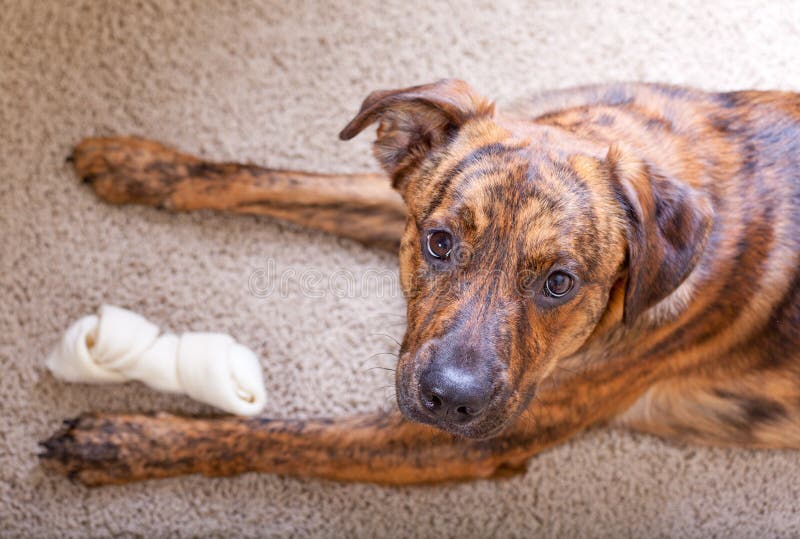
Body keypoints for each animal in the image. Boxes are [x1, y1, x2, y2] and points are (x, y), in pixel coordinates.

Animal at [42, 81, 800, 490]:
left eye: (560, 282)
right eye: (439, 242)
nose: (451, 399)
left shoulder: (456, 441)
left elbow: (286, 438)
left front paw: (124, 441)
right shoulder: (404, 194)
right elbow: (281, 179)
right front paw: (143, 164)